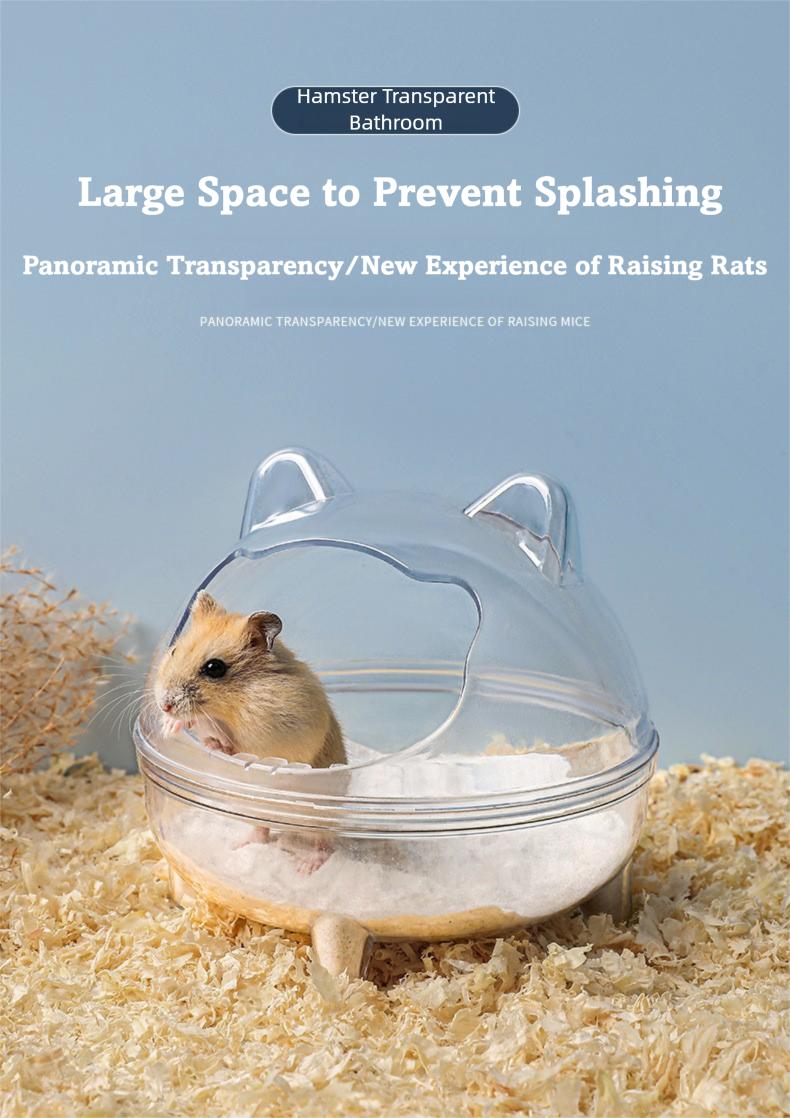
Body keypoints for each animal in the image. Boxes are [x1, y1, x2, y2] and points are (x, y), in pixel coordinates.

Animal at [154, 590, 346, 768]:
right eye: (174, 651)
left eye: (214, 668)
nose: (164, 707)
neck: (239, 695)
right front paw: (168, 726)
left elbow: (217, 729)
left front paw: (214, 743)